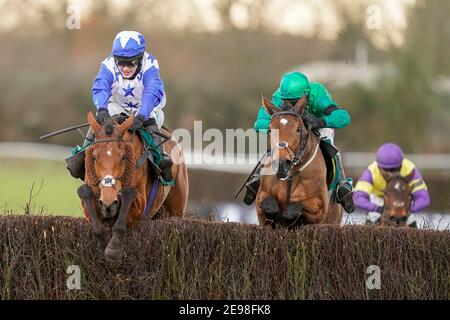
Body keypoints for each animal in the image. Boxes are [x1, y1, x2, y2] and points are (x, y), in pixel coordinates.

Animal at [77, 111, 188, 262]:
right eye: (94, 157)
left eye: (123, 157)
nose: (108, 202)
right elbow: (87, 196)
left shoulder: (139, 208)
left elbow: (126, 206)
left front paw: (113, 250)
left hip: (176, 211)